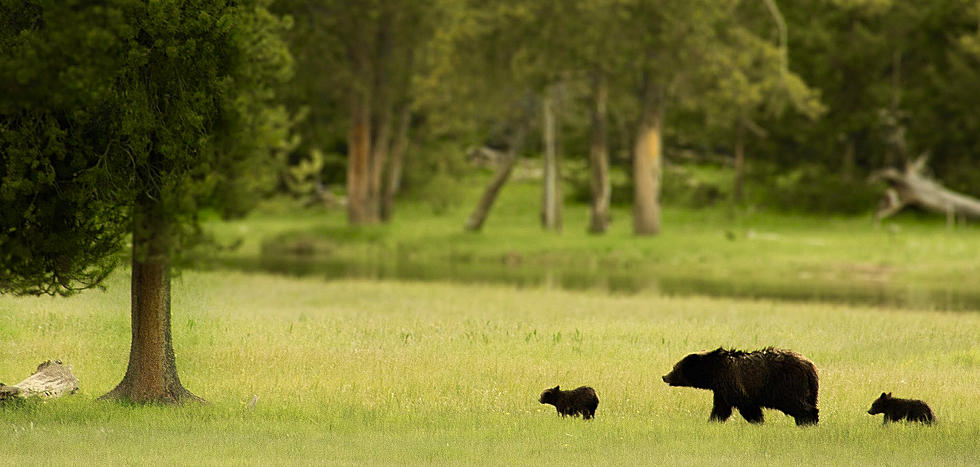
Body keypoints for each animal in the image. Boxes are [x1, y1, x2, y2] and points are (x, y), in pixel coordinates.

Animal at [660, 348, 820, 428]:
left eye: (675, 368)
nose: (664, 376)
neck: (713, 372)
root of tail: (810, 366)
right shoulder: (721, 390)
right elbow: (721, 408)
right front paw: (712, 421)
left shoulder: (733, 383)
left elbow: (746, 406)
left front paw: (758, 422)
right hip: (810, 389)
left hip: (787, 384)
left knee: (798, 404)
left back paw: (807, 422)